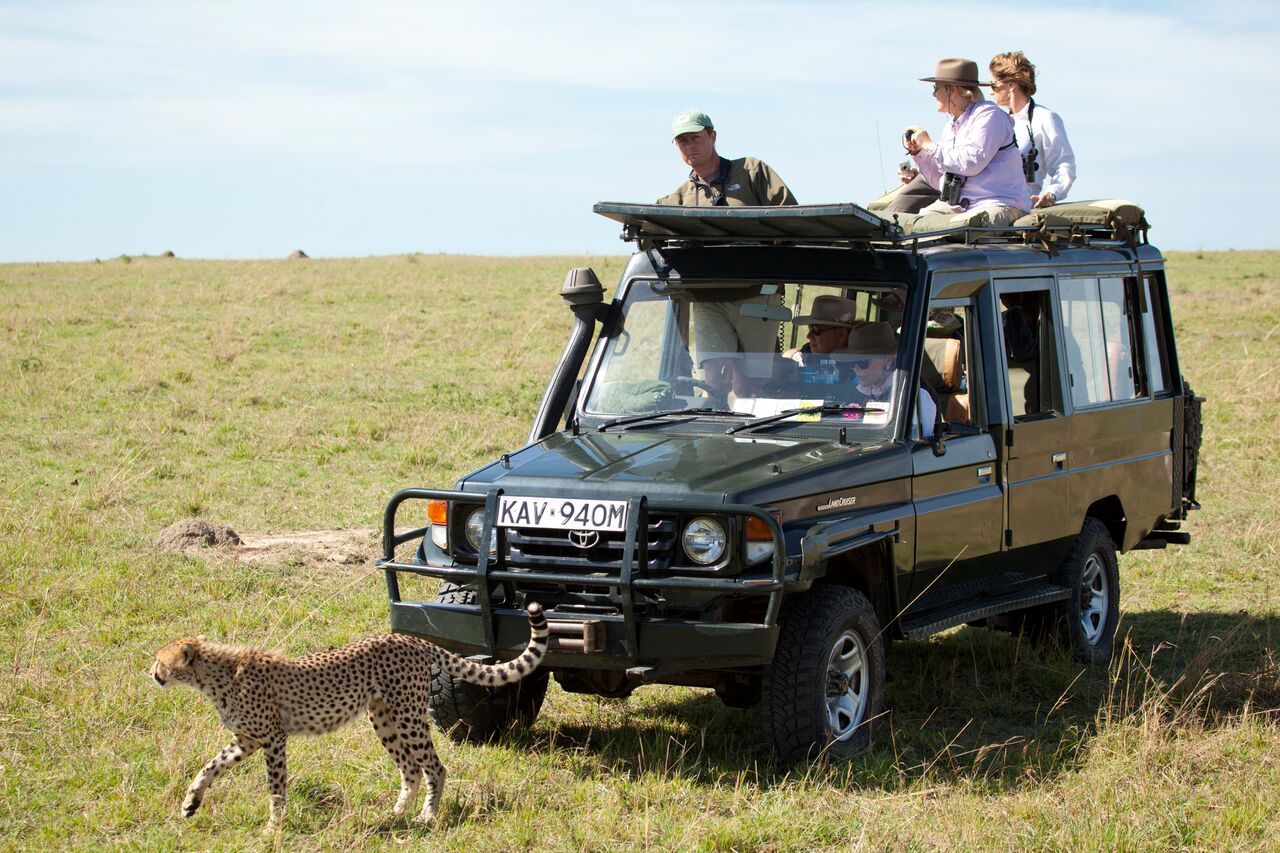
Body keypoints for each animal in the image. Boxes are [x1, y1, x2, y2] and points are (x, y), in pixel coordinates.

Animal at [151, 602, 548, 833]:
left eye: (160, 660)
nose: (151, 673)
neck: (214, 676)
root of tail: (410, 640)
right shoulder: (246, 739)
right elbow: (209, 766)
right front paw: (190, 804)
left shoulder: (273, 738)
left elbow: (276, 787)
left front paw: (273, 827)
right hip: (383, 718)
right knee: (410, 767)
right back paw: (396, 815)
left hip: (408, 715)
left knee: (434, 766)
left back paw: (427, 816)